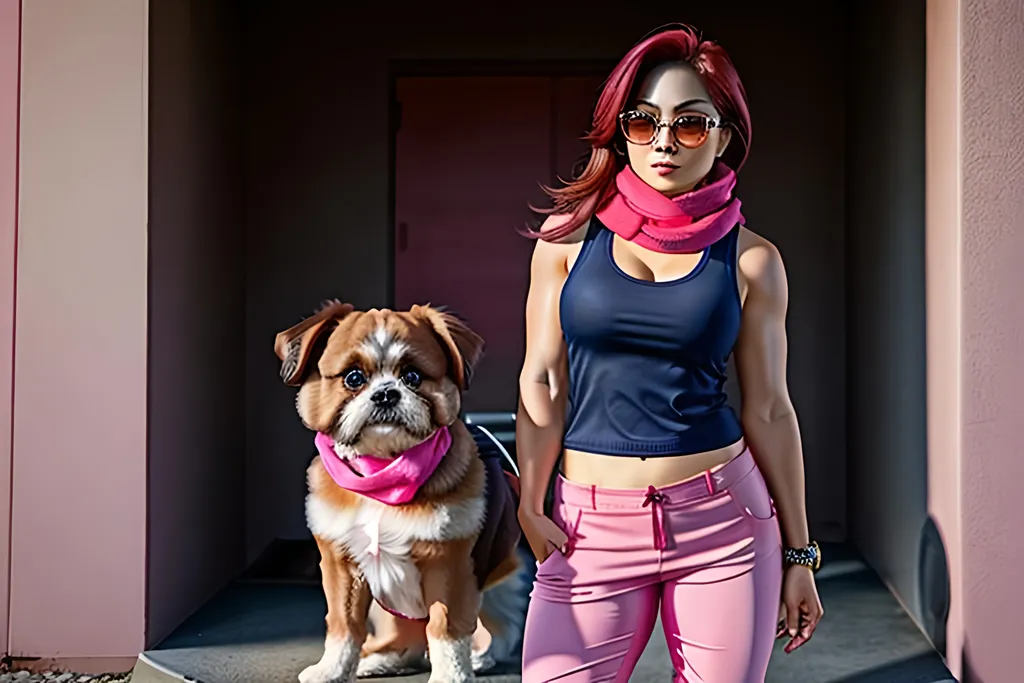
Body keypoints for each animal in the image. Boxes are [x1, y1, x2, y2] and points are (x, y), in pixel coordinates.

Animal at [274, 301, 528, 679]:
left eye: (413, 377)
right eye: (353, 378)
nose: (385, 393)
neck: (383, 471)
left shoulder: (449, 562)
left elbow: (446, 628)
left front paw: (452, 674)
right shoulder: (342, 564)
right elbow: (344, 625)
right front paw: (332, 670)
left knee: (498, 621)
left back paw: (480, 655)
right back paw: (385, 657)